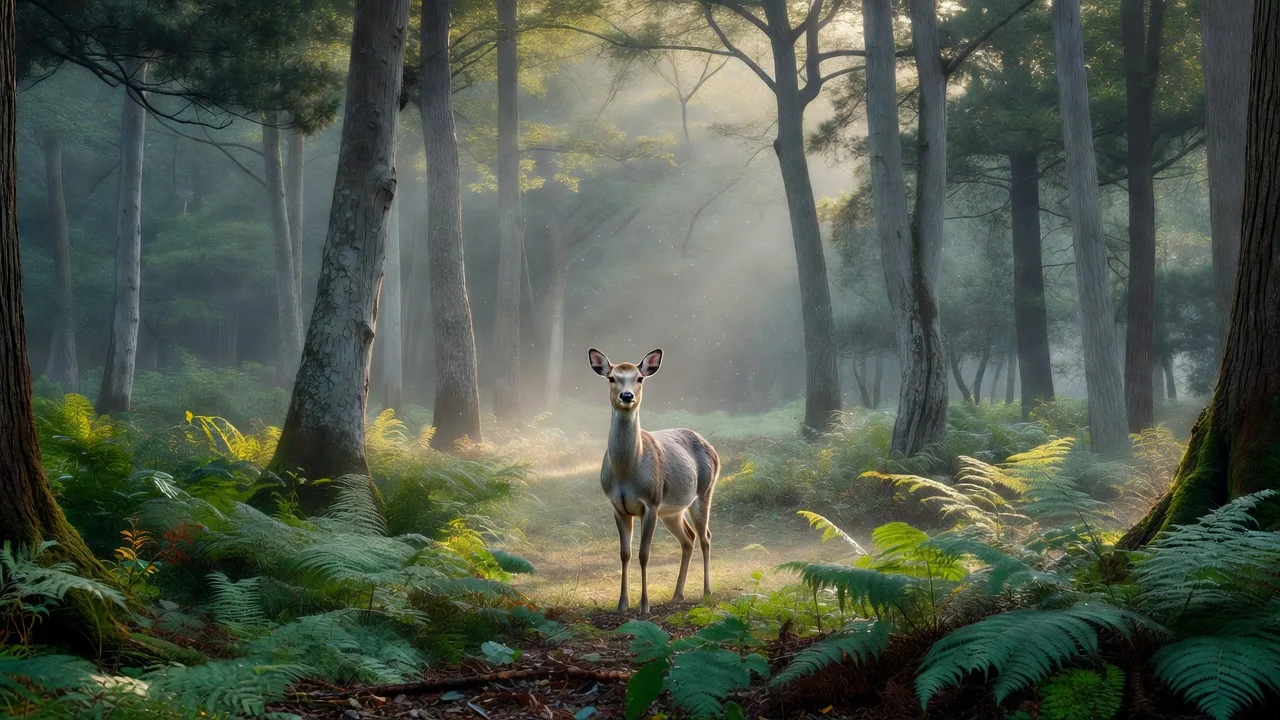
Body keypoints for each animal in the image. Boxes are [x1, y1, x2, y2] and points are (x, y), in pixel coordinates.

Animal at [588, 348, 720, 616]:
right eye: (612, 378)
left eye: (639, 378)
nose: (626, 395)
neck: (626, 473)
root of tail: (714, 451)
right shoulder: (617, 506)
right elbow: (625, 554)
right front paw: (622, 604)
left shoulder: (650, 503)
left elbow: (644, 554)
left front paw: (644, 605)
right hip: (672, 511)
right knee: (688, 538)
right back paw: (677, 594)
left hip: (704, 492)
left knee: (706, 536)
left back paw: (706, 591)